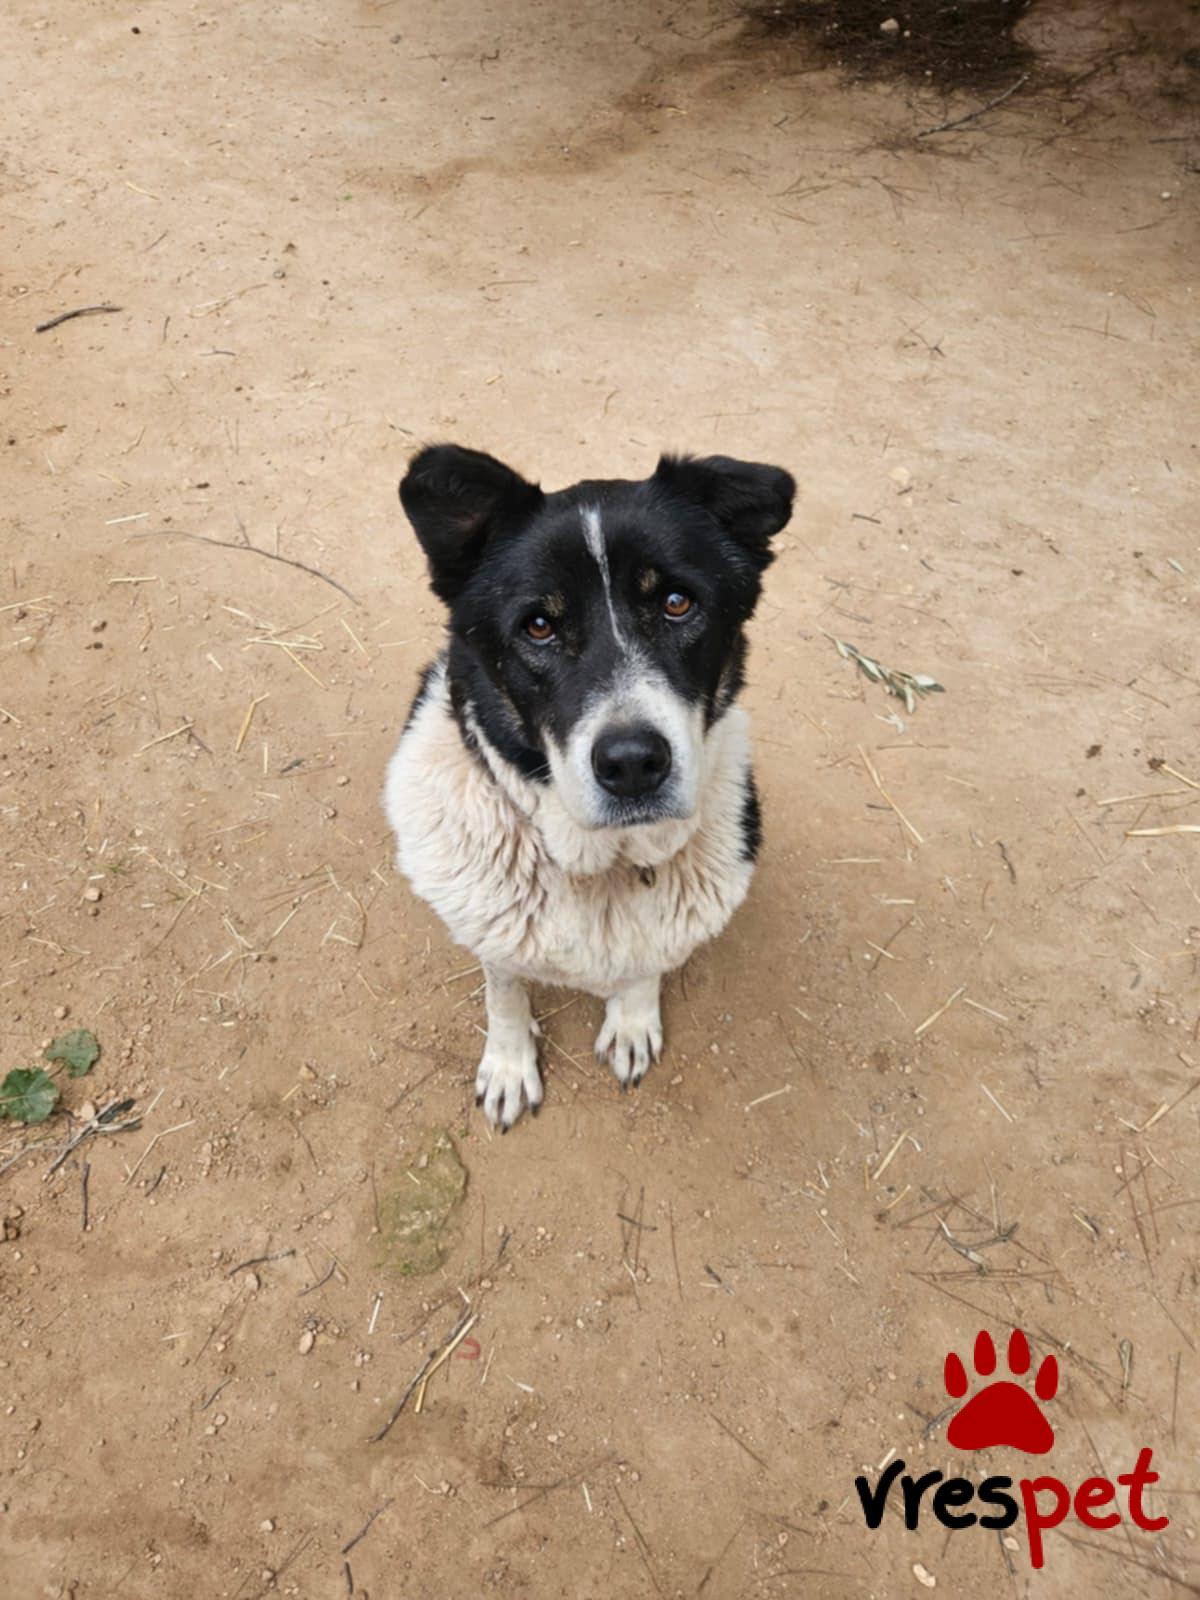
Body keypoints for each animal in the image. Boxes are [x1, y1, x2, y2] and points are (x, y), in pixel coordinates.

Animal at [383, 444, 795, 1128]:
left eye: (677, 603)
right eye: (538, 626)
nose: (632, 764)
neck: (604, 862)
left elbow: (647, 962)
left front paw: (631, 1021)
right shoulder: (492, 935)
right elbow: (504, 989)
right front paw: (509, 1064)